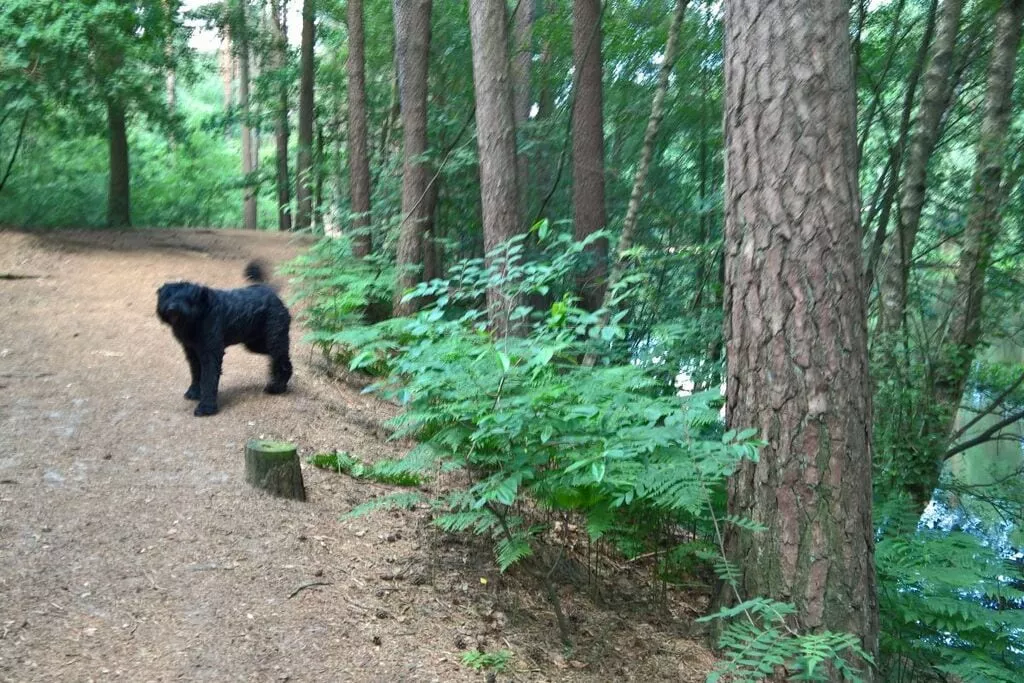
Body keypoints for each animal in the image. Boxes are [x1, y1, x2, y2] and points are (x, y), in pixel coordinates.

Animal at [155, 262, 292, 417]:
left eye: (186, 298)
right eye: (167, 296)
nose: (172, 309)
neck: (201, 314)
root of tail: (270, 291)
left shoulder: (210, 353)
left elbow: (209, 378)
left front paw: (206, 407)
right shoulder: (193, 352)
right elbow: (196, 373)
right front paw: (195, 392)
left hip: (273, 340)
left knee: (282, 361)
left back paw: (277, 387)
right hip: (256, 344)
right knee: (279, 358)